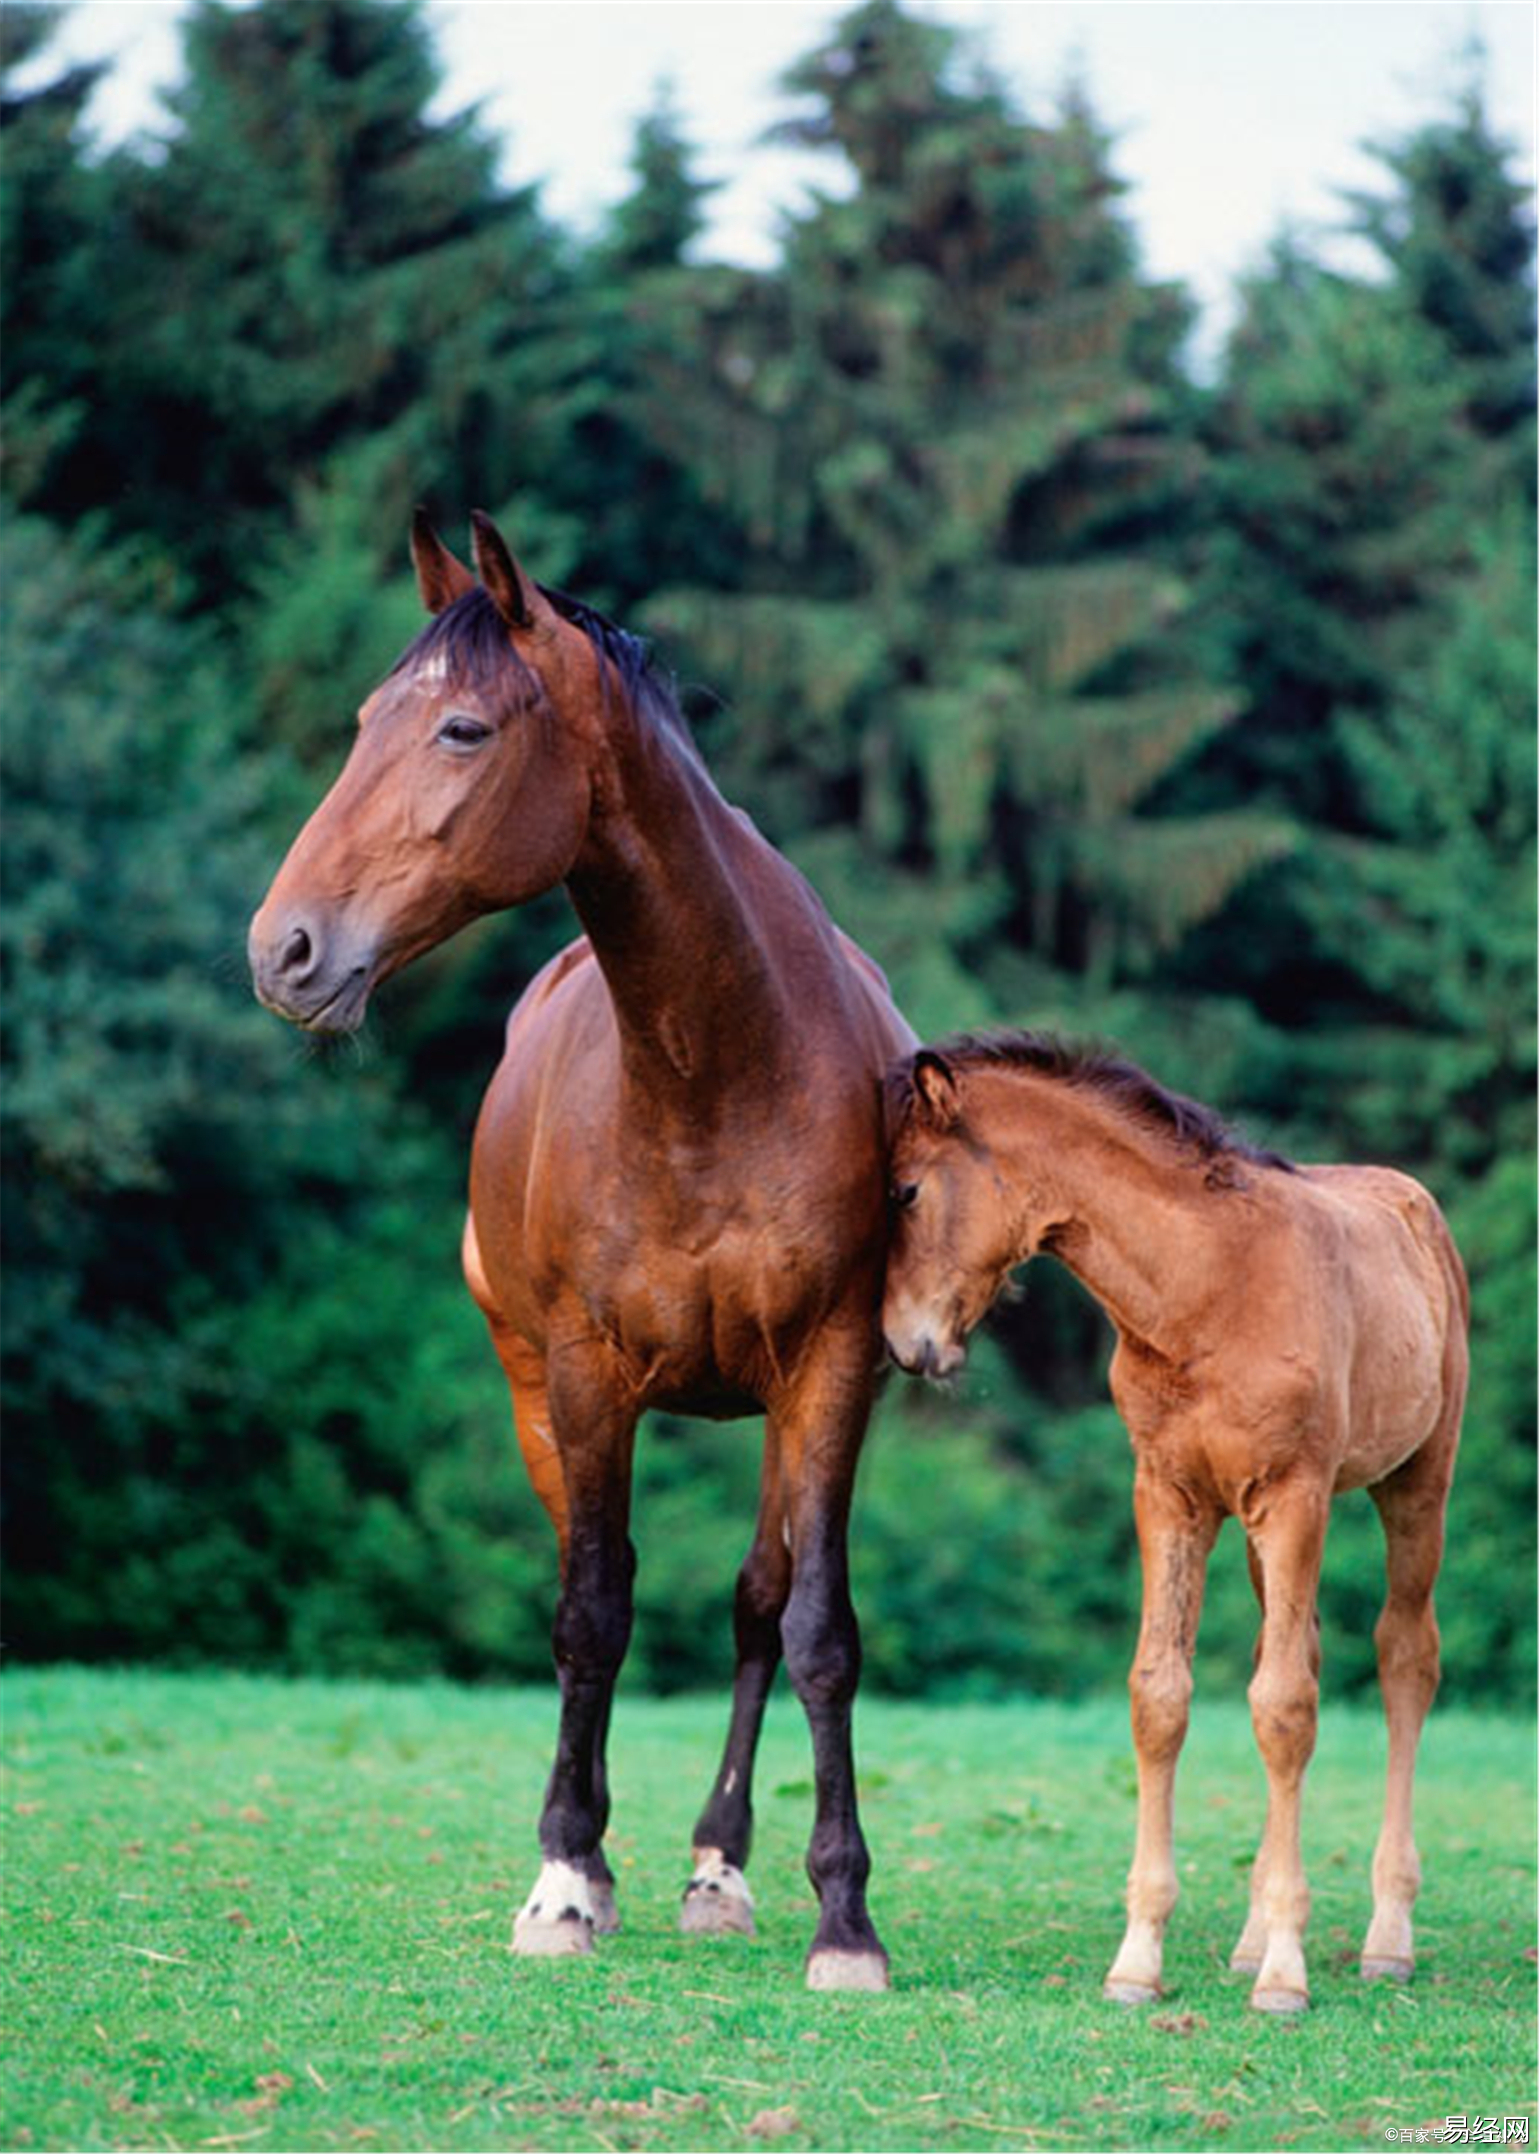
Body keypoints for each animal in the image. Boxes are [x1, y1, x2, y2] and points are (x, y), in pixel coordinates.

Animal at [245, 512, 905, 1990]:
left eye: (463, 729)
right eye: (367, 719)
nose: (284, 948)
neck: (714, 1065)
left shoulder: (831, 1367)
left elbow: (815, 1629)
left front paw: (845, 1917)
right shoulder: (586, 1372)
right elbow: (590, 1612)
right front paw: (560, 1882)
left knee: (754, 1602)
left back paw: (718, 1865)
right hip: (534, 1390)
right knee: (587, 1587)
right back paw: (593, 1861)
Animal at [875, 1033, 1465, 2007]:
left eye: (906, 1191)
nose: (904, 1346)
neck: (1204, 1290)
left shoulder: (1295, 1494)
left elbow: (1283, 1709)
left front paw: (1285, 1978)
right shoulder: (1168, 1496)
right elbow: (1163, 1696)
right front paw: (1138, 1962)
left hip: (1417, 1479)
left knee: (1405, 1659)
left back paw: (1388, 1937)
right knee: (1297, 1647)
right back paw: (1250, 1938)